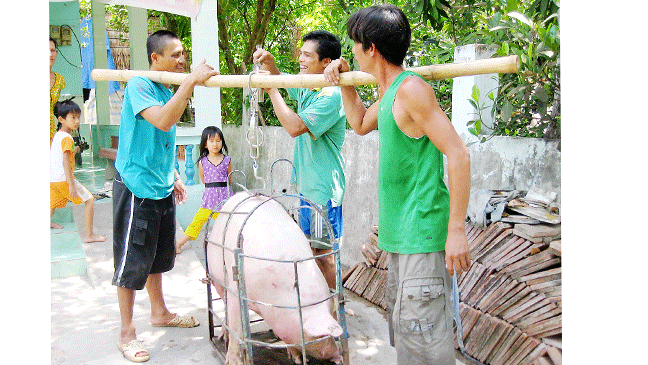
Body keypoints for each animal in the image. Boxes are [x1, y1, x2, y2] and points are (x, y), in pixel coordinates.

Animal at [208, 192, 344, 362]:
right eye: (321, 336)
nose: (339, 355)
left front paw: (294, 357)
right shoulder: (236, 290)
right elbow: (237, 327)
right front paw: (233, 361)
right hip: (216, 275)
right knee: (224, 305)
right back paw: (221, 338)